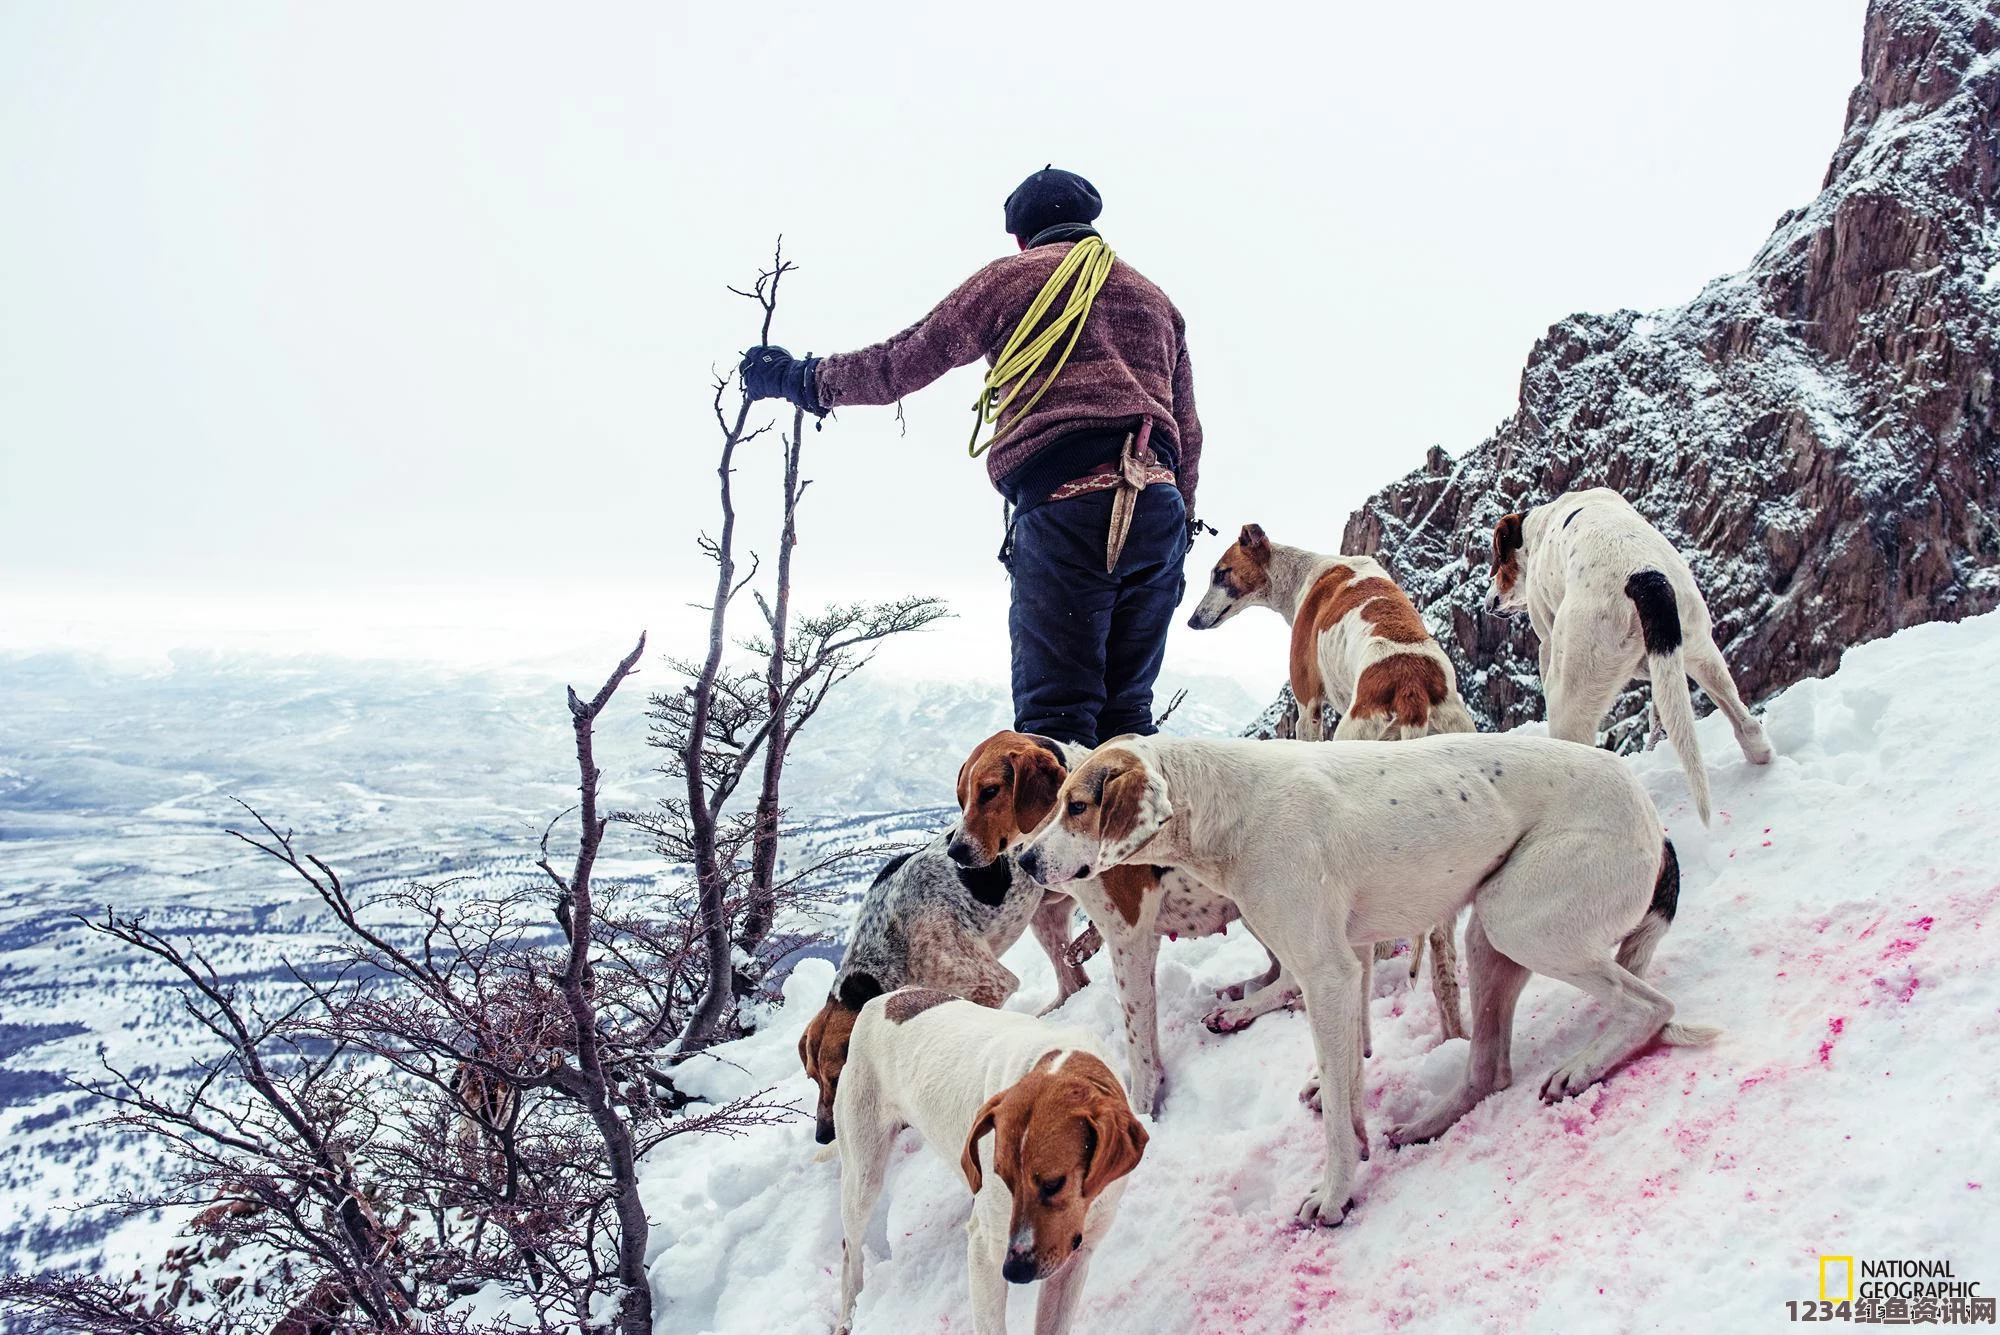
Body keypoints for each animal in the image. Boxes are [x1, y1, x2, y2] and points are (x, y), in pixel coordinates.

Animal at [828, 987, 1144, 1327]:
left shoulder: (1076, 1256)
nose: (1015, 1272)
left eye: (1054, 1183)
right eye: (1004, 1178)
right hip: (863, 1175)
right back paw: (848, 1316)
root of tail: (879, 1001)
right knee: (849, 1250)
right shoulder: (985, 1250)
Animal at [944, 731, 1288, 1119]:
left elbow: (1139, 1042)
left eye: (990, 791)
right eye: (961, 798)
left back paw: (1238, 1012)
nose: (955, 851)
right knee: (1278, 970)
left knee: (1292, 981)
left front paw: (1141, 1107)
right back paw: (1241, 992)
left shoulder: (1130, 939)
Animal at [1016, 731, 1720, 1231]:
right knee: (1491, 1068)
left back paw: (1582, 1068)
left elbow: (1335, 1101)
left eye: (1078, 806)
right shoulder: (1347, 963)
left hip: (1518, 918)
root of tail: (1652, 818)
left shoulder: (1326, 974)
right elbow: (1348, 1080)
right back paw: (1428, 1125)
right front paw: (1353, 1145)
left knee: (1650, 1005)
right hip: (1489, 934)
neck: (1229, 807)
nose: (1021, 859)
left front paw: (1332, 1196)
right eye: (1057, 801)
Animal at [1184, 527, 1472, 1047]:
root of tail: (1412, 689)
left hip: (1351, 747)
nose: (1193, 620)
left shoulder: (1309, 707)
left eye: (1221, 572)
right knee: (1442, 954)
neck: (1307, 571)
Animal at [1488, 487, 1784, 823]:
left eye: (1498, 563)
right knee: (1745, 722)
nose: (1488, 602)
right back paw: (1759, 753)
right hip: (1703, 654)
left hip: (1570, 691)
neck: (1537, 527)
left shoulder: (1547, 637)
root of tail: (1646, 579)